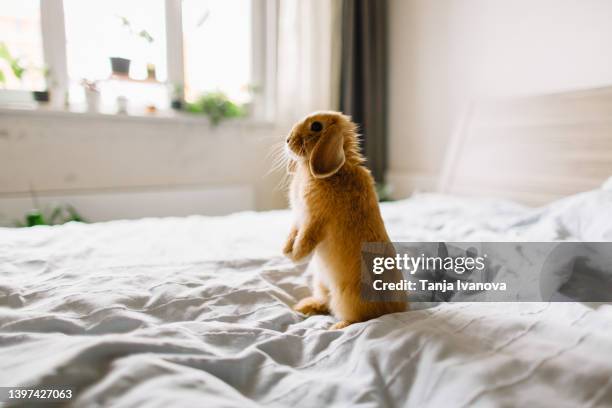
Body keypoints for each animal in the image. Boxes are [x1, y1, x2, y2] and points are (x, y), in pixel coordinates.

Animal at [284, 111, 408, 328]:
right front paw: (285, 251)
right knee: (325, 302)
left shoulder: (315, 219)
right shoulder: (299, 217)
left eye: (316, 126)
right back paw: (305, 306)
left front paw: (296, 256)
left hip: (349, 297)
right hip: (321, 283)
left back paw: (339, 326)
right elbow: (293, 232)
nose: (288, 140)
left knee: (361, 317)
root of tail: (397, 309)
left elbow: (306, 237)